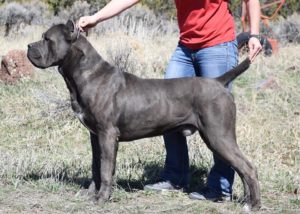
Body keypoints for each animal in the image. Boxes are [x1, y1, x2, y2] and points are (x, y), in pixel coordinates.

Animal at [28, 20, 262, 211]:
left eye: (46, 39)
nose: (29, 46)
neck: (85, 74)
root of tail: (218, 81)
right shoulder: (95, 135)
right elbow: (96, 165)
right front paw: (90, 193)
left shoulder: (107, 135)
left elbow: (105, 169)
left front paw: (101, 198)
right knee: (241, 169)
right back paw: (247, 201)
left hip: (218, 135)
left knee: (248, 168)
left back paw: (254, 205)